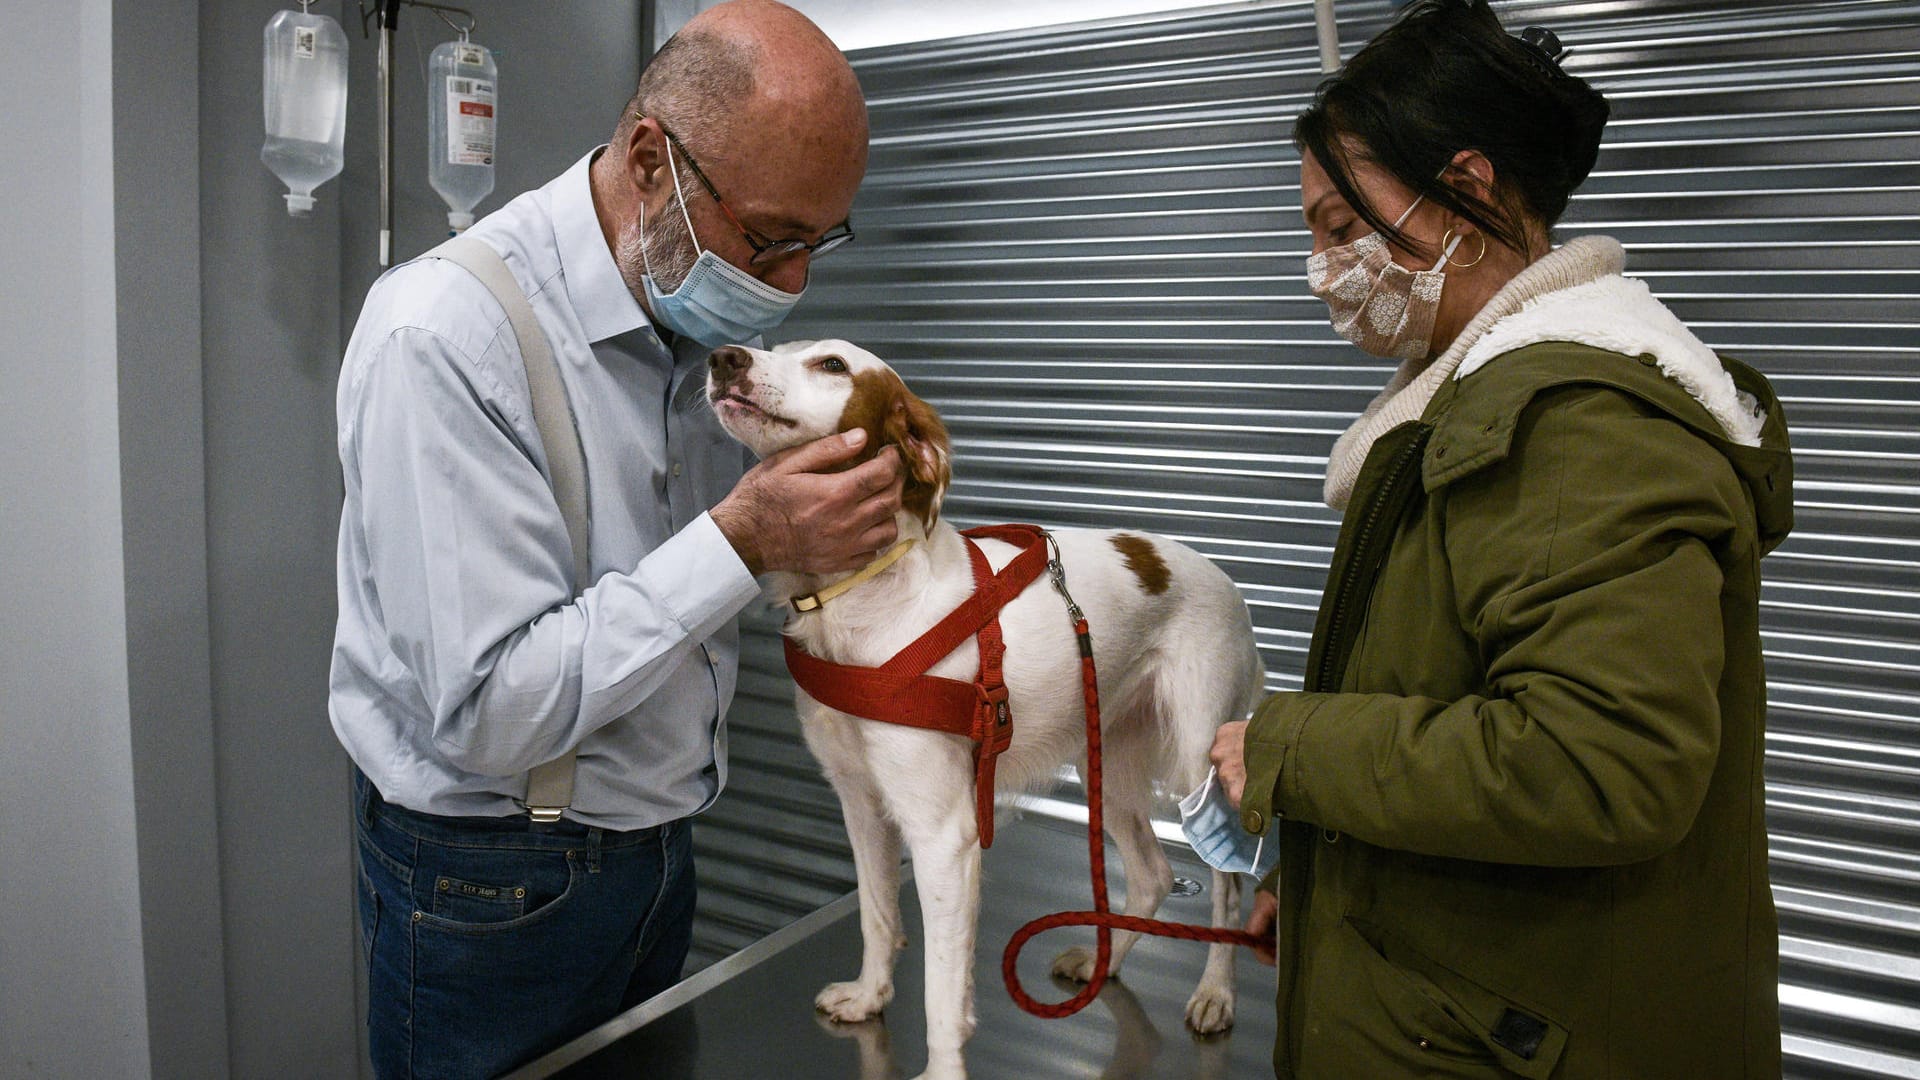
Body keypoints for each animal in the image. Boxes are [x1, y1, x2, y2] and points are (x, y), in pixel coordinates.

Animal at [706, 338, 1259, 1076]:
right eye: (774, 348)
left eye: (832, 366)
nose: (723, 358)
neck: (865, 597)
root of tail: (1225, 578)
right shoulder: (860, 802)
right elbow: (877, 916)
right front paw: (870, 995)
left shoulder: (944, 835)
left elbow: (941, 988)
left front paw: (942, 1067)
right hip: (1104, 759)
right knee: (1153, 876)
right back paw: (1102, 965)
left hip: (1200, 756)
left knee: (1225, 885)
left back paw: (1217, 993)